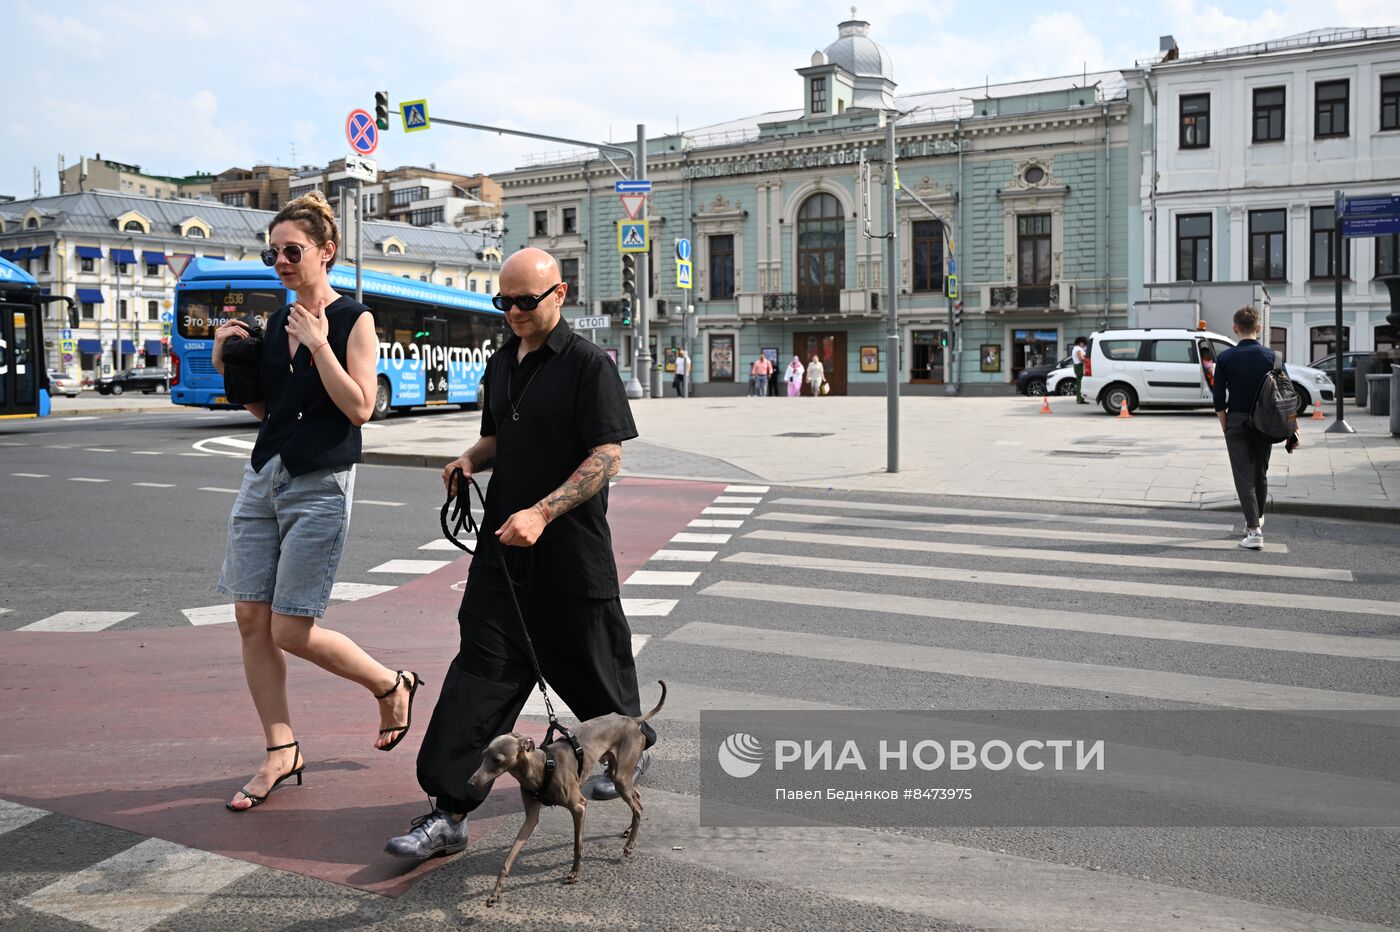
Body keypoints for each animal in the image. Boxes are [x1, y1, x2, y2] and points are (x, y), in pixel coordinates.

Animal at [467, 680, 669, 901]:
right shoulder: (531, 818)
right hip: (619, 774)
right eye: (484, 754)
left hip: (621, 777)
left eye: (497, 760)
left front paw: (574, 873)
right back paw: (629, 830)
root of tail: (632, 720)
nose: (470, 783)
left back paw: (630, 846)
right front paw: (496, 890)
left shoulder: (579, 807)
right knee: (637, 798)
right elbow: (510, 855)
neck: (541, 768)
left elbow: (577, 845)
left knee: (638, 807)